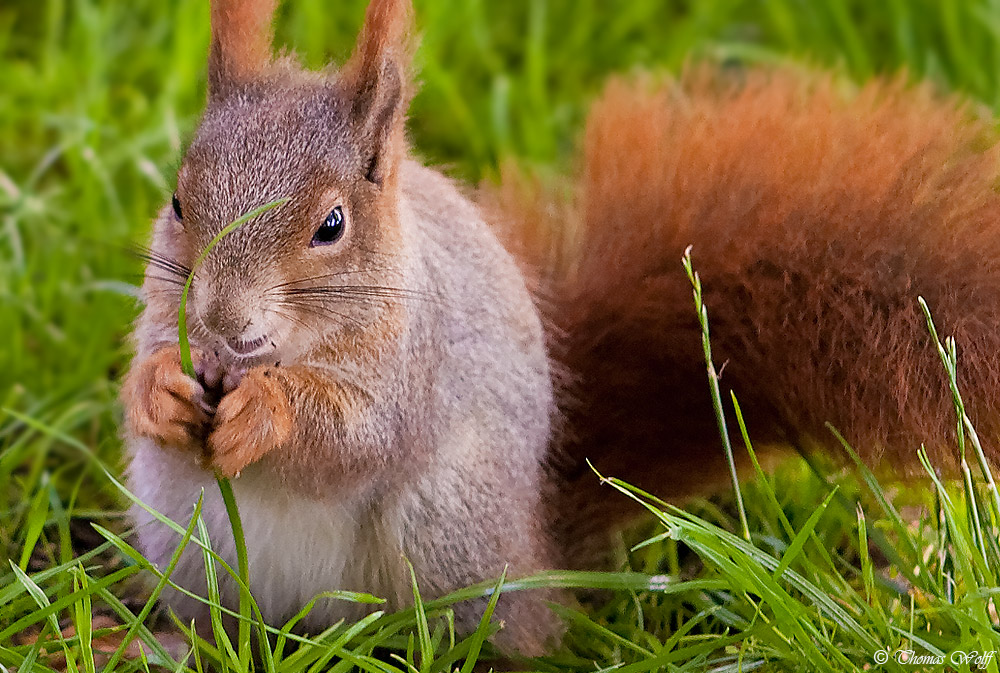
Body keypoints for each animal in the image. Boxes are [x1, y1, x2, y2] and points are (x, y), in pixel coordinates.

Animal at [119, 0, 1000, 656]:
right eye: (178, 201)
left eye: (331, 224)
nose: (220, 321)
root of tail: (537, 550)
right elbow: (147, 370)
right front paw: (161, 389)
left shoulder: (415, 364)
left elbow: (356, 436)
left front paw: (263, 412)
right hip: (183, 534)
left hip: (444, 528)